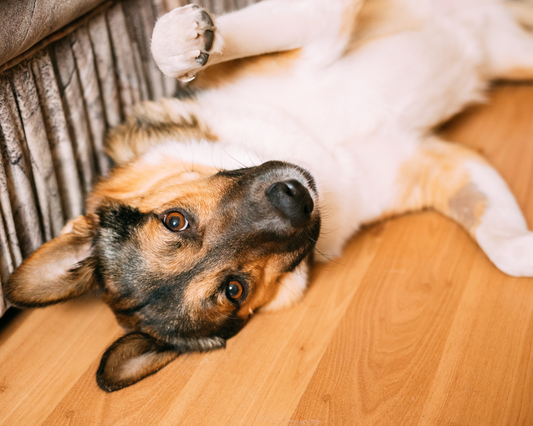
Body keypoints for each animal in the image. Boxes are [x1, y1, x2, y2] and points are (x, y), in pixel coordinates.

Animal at [3, 0, 532, 392]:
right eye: (233, 289)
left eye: (175, 220)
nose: (295, 198)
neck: (316, 143)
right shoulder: (435, 164)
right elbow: (505, 251)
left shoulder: (315, 27)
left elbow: (178, 46)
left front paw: (187, 40)